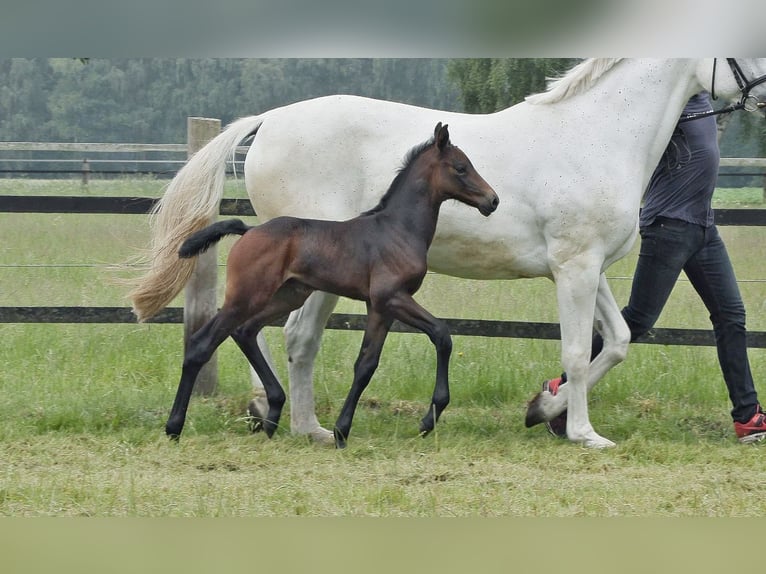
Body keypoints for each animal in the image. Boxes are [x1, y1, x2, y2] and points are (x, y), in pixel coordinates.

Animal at [168, 125, 500, 450]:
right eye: (461, 167)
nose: (493, 200)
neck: (398, 230)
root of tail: (248, 230)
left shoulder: (379, 306)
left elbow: (366, 364)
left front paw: (342, 431)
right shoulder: (392, 297)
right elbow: (442, 335)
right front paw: (428, 420)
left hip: (287, 295)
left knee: (244, 331)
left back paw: (273, 415)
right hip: (246, 296)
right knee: (201, 343)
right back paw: (174, 427)